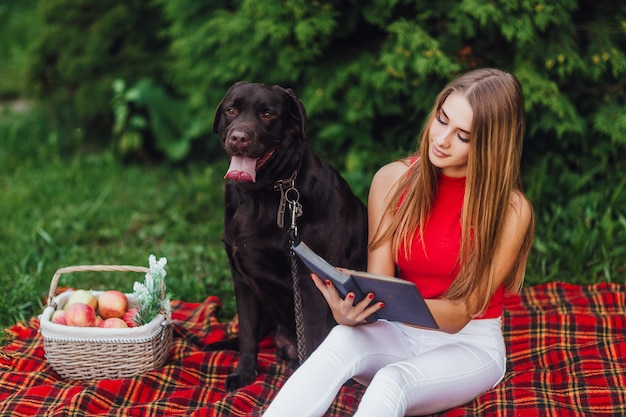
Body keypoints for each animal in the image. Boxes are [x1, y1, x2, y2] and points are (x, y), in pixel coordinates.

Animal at [212, 82, 366, 390]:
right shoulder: (241, 279)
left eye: (268, 114)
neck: (260, 194)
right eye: (231, 110)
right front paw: (244, 373)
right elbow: (247, 334)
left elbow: (314, 340)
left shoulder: (311, 286)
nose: (239, 138)